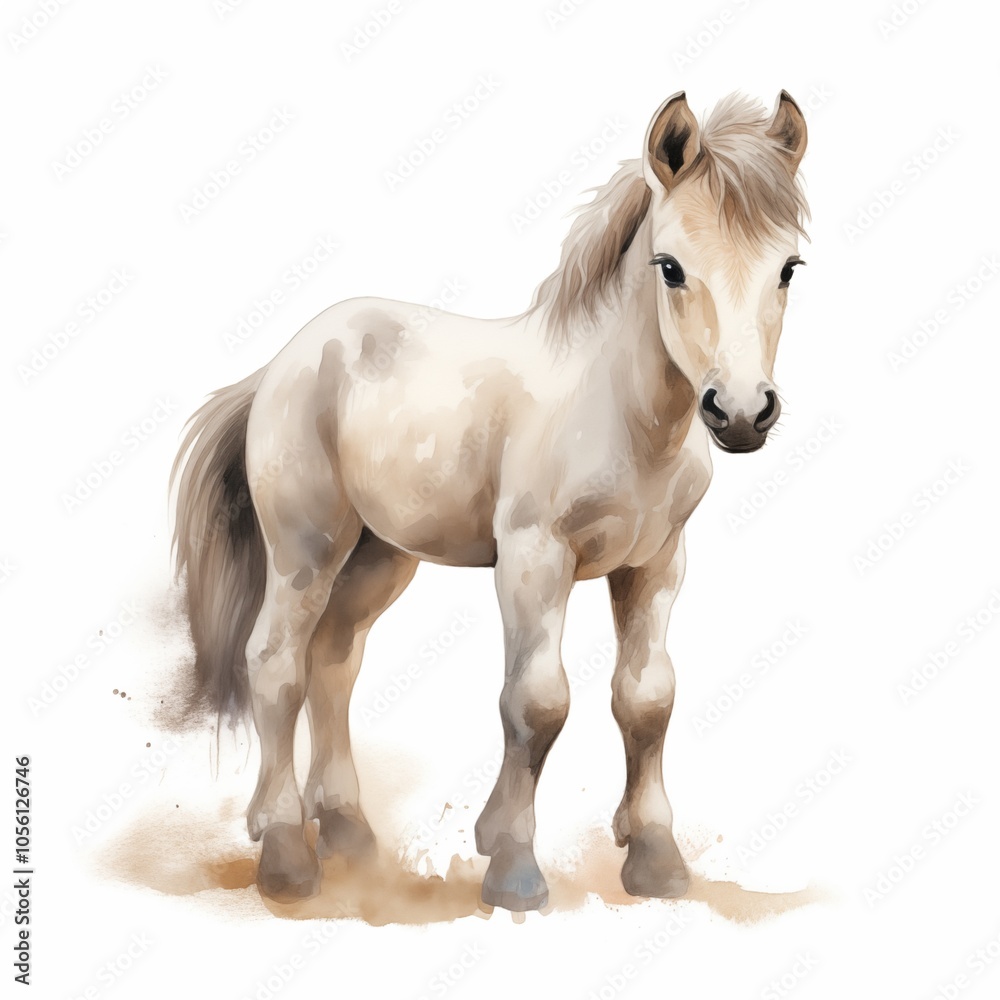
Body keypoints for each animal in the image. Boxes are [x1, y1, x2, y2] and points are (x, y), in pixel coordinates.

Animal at [170, 90, 809, 911]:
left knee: (334, 662)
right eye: (671, 267)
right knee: (276, 664)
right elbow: (536, 703)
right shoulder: (534, 559)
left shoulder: (656, 564)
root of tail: (284, 361)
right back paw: (286, 856)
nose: (740, 412)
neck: (617, 411)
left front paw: (656, 860)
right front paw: (512, 867)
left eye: (788, 266)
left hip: (379, 557)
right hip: (306, 549)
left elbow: (647, 699)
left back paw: (345, 830)